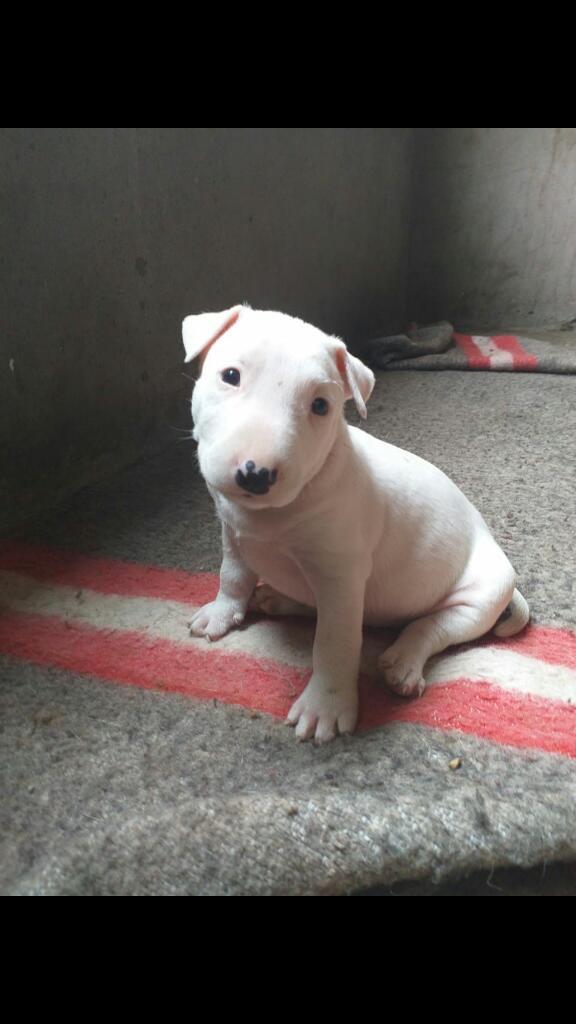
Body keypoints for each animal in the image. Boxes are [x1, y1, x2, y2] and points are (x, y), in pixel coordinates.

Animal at [181, 303, 528, 745]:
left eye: (320, 406)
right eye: (230, 375)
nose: (255, 475)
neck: (277, 512)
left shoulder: (341, 578)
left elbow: (334, 641)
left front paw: (325, 707)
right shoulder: (233, 535)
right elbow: (233, 576)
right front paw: (222, 613)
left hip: (480, 597)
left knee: (434, 626)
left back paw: (403, 663)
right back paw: (279, 598)